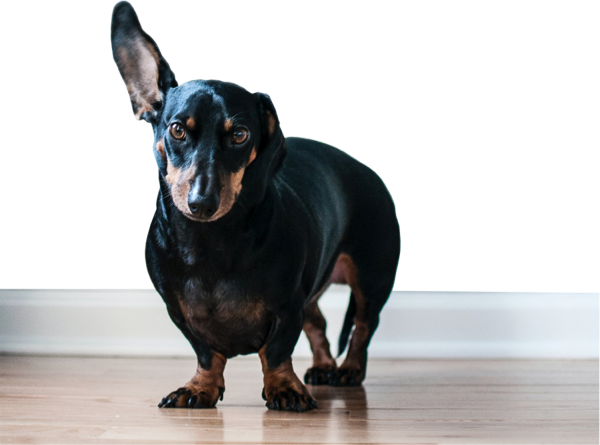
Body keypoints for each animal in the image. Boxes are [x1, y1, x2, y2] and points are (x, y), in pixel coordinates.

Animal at [110, 0, 400, 412]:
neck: (209, 243)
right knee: (319, 325)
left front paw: (284, 388)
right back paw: (323, 366)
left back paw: (347, 370)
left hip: (371, 278)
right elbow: (207, 353)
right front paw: (201, 387)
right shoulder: (180, 314)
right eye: (177, 129)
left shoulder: (287, 306)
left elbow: (276, 351)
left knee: (362, 326)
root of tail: (367, 170)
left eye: (239, 135)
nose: (202, 202)